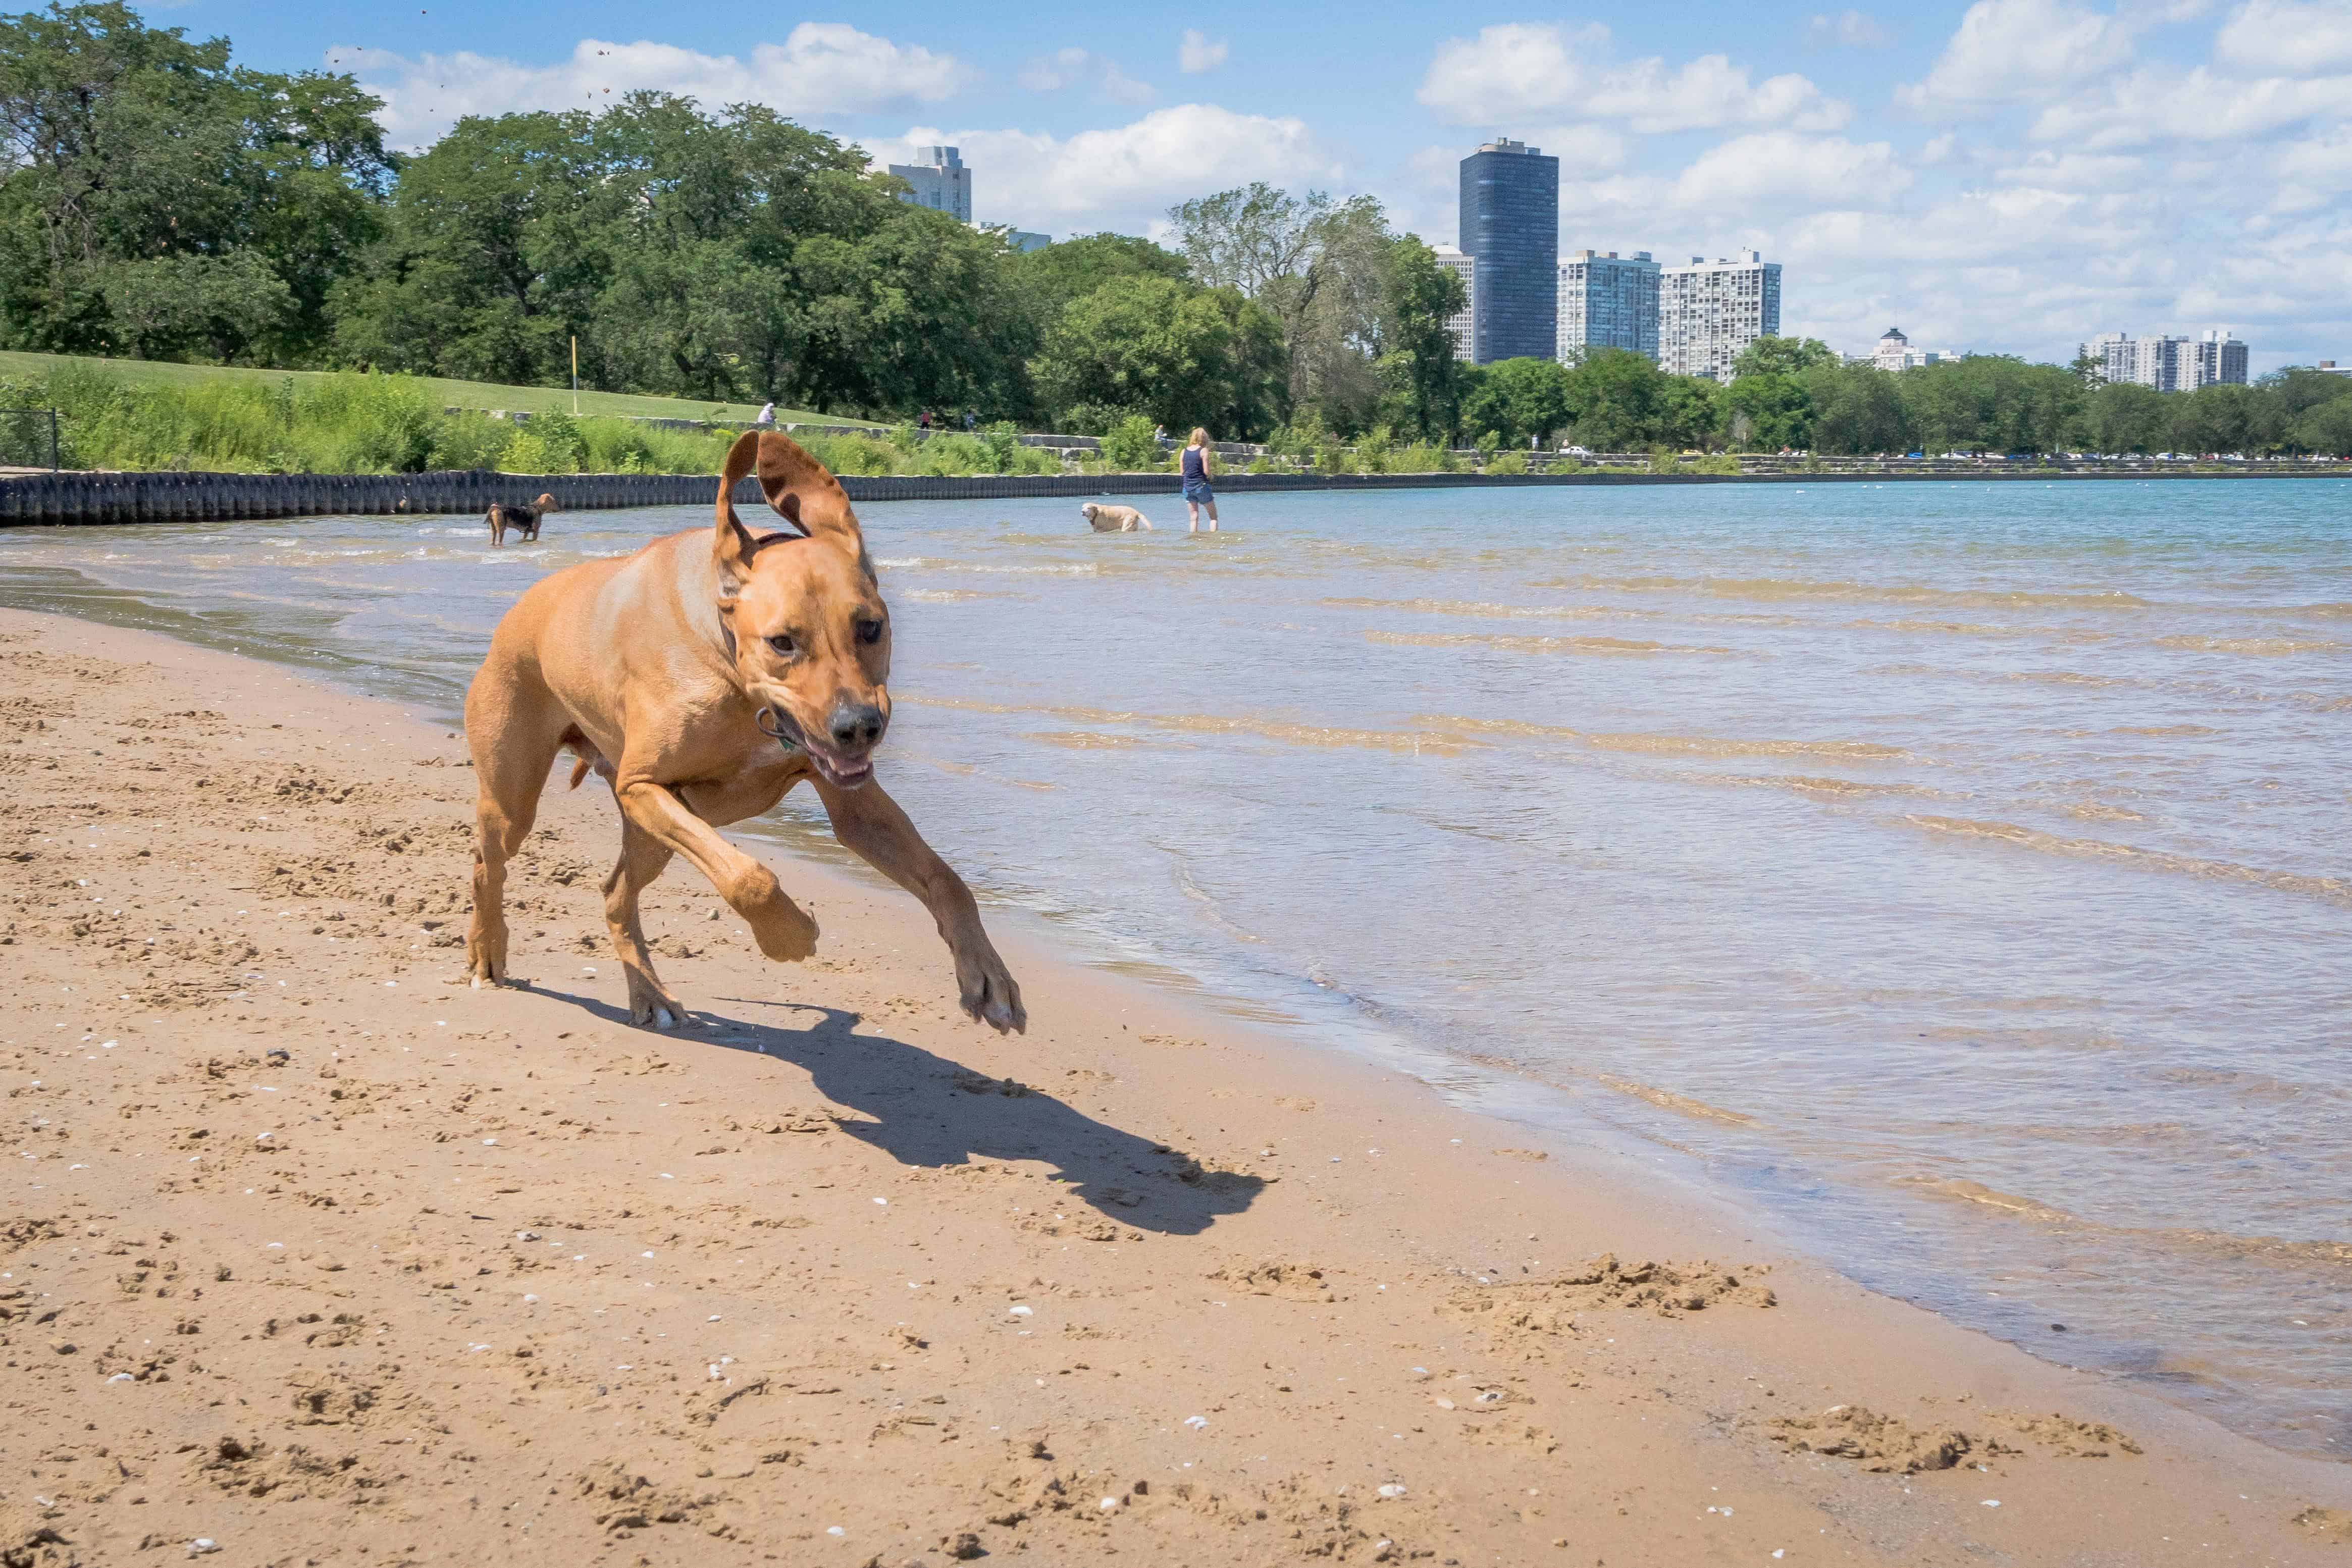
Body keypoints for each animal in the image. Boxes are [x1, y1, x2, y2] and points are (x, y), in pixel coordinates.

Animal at [487, 493, 559, 550]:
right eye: (554, 502)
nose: (559, 509)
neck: (537, 508)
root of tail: (494, 508)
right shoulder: (536, 530)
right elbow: (534, 539)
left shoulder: (527, 531)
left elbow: (524, 539)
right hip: (501, 529)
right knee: (500, 541)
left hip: (493, 529)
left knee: (493, 540)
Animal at [1077, 505, 1152, 536]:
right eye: (1083, 507)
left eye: (1088, 508)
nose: (1082, 511)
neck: (1096, 514)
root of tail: (1137, 512)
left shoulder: (1101, 529)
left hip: (1127, 523)